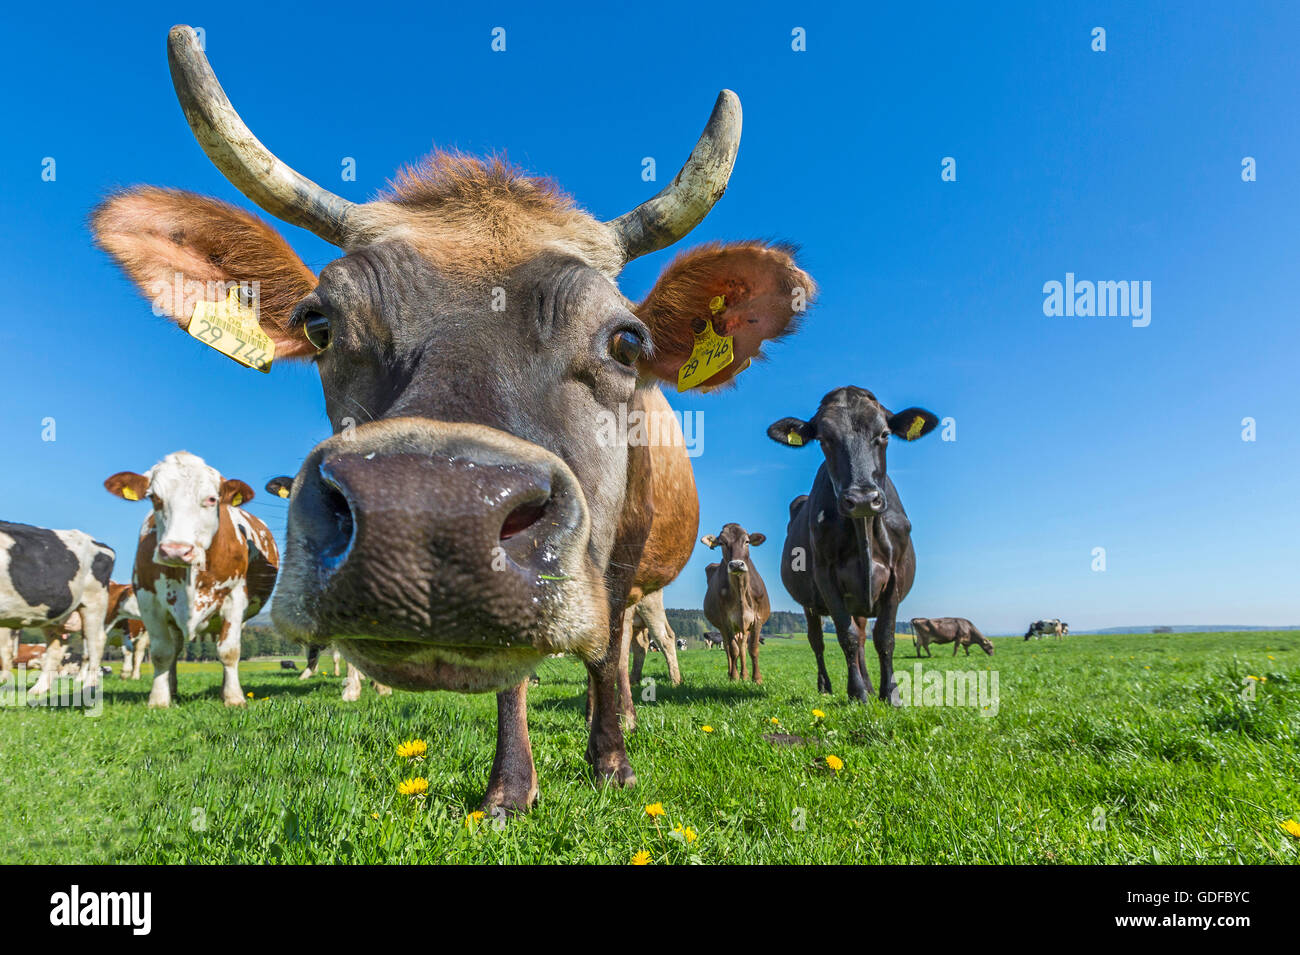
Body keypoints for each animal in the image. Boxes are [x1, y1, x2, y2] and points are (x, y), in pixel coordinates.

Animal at [0, 522, 115, 696]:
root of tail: (97, 542)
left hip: (94, 601)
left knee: (96, 642)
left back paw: (89, 687)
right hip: (52, 613)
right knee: (57, 646)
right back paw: (38, 689)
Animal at [104, 452, 279, 706]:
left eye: (212, 499)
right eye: (154, 497)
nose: (176, 550)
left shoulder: (235, 599)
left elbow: (229, 651)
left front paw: (234, 698)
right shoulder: (149, 602)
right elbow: (161, 653)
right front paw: (159, 699)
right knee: (175, 649)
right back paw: (172, 688)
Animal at [702, 522, 769, 686]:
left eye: (747, 541)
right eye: (722, 543)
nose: (737, 564)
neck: (740, 591)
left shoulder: (757, 619)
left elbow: (753, 649)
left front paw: (757, 678)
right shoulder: (726, 622)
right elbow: (733, 650)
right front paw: (734, 677)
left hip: (743, 628)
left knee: (743, 647)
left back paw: (744, 674)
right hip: (723, 628)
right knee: (728, 648)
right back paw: (733, 673)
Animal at [764, 384, 941, 706]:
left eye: (884, 434)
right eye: (824, 439)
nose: (861, 499)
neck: (864, 528)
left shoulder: (895, 575)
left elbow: (883, 637)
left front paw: (889, 693)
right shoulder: (826, 576)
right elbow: (844, 636)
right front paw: (857, 693)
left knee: (861, 638)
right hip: (809, 603)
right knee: (818, 641)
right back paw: (828, 685)